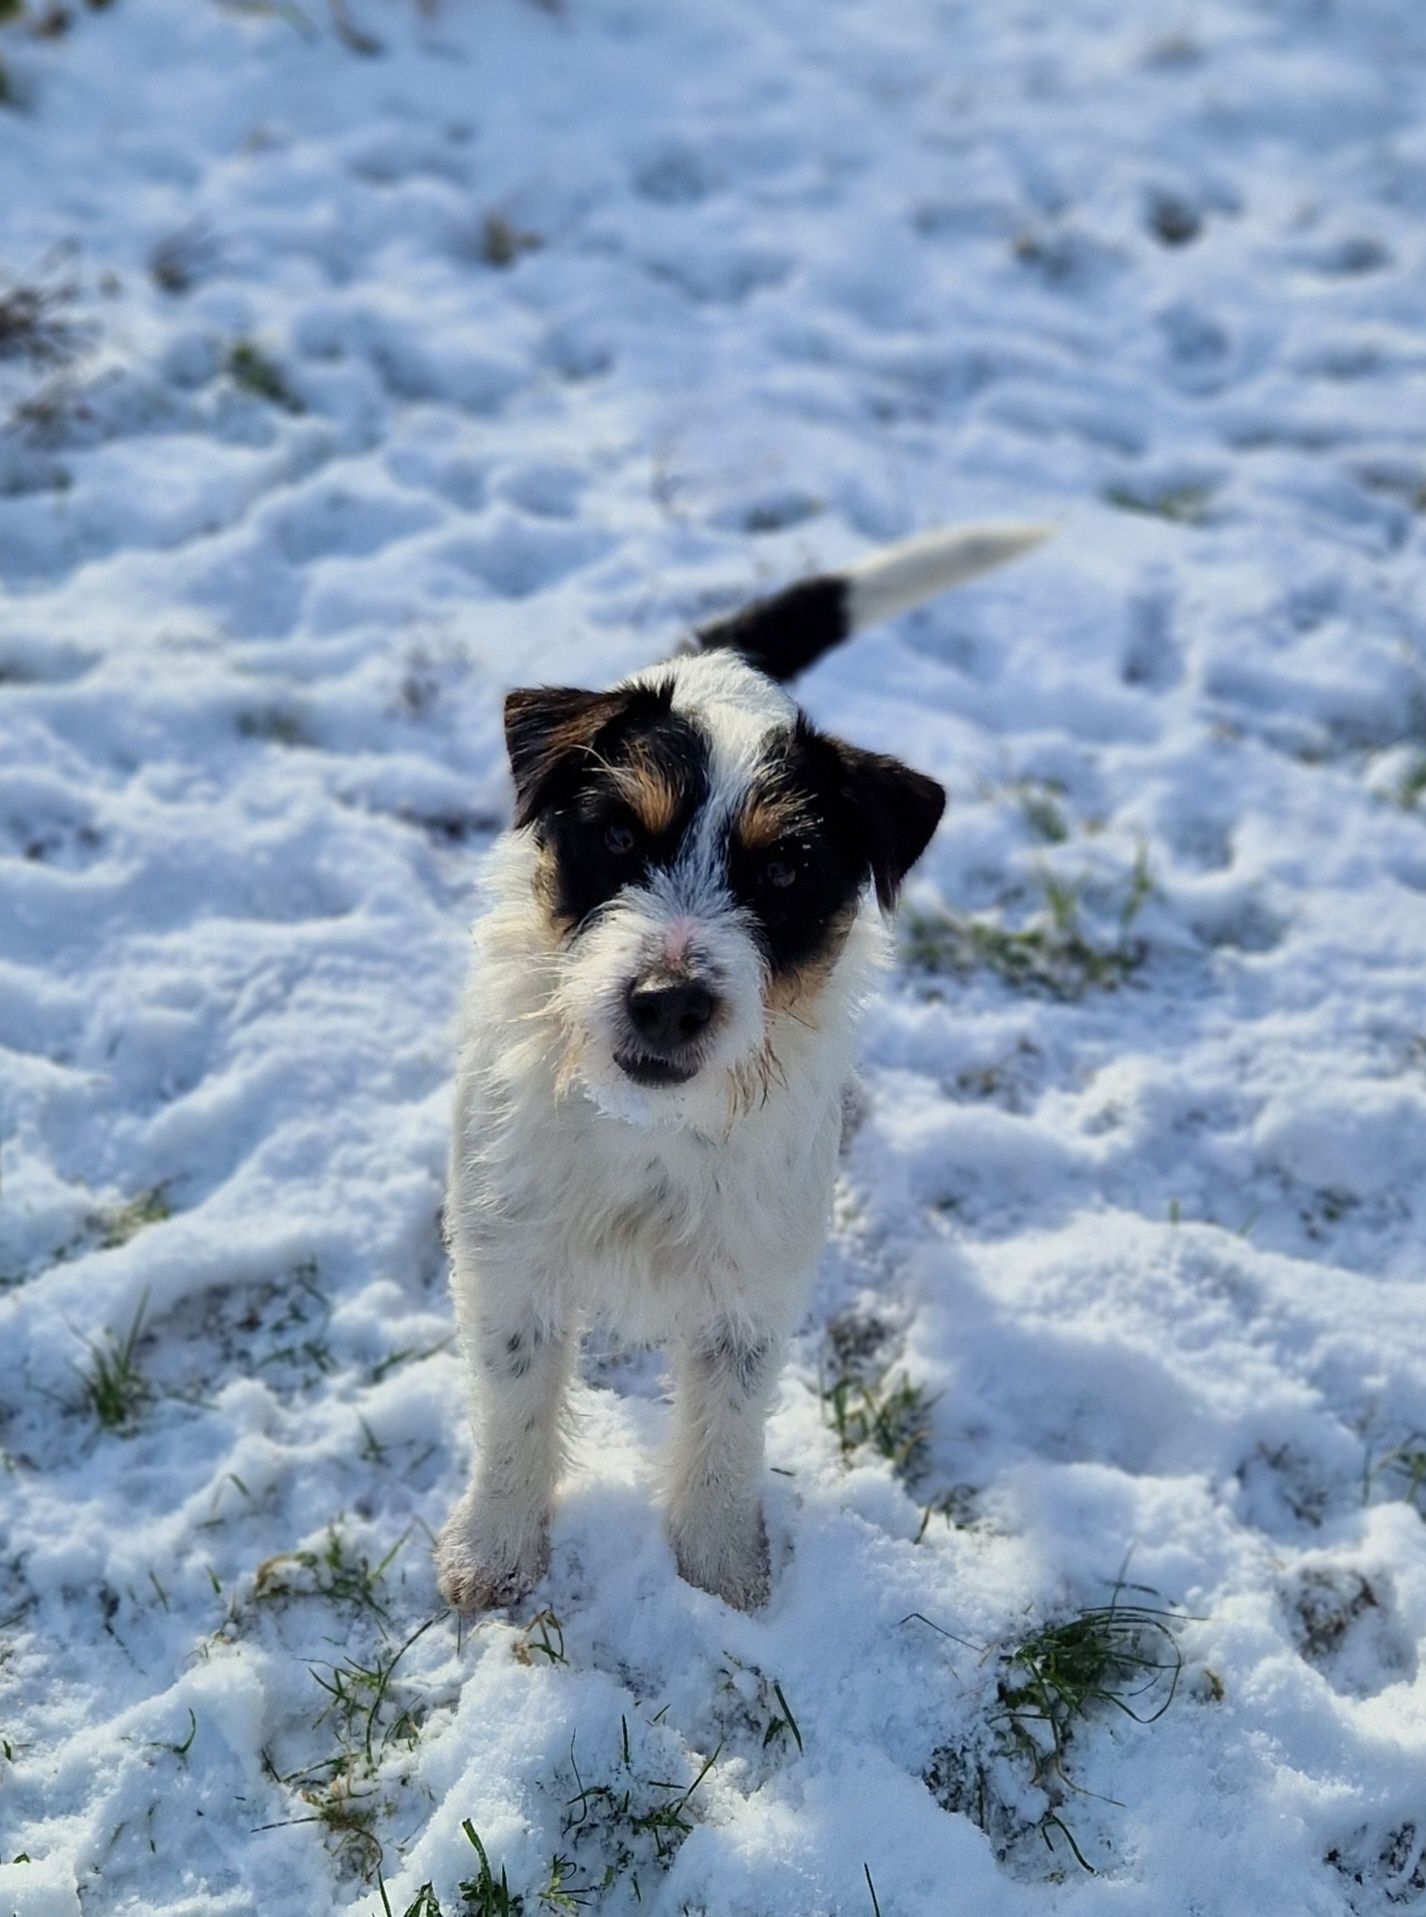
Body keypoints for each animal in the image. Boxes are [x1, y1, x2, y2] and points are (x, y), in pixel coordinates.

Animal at [440, 517, 1050, 1610]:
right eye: (614, 833)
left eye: (783, 868)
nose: (668, 1000)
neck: (650, 1132)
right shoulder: (512, 1254)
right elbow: (513, 1401)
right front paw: (496, 1549)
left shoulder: (751, 1285)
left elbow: (725, 1429)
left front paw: (721, 1569)